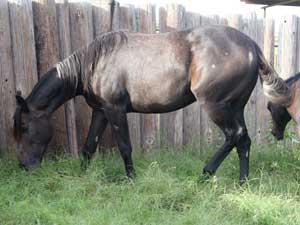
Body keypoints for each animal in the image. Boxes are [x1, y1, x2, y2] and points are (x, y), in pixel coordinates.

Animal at [13, 25, 290, 185]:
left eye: (25, 127)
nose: (24, 166)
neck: (94, 62)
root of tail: (251, 46)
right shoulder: (100, 111)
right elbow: (89, 146)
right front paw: (83, 176)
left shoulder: (115, 110)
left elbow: (125, 146)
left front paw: (131, 179)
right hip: (234, 107)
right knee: (243, 140)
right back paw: (243, 182)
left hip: (216, 106)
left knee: (234, 136)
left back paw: (206, 173)